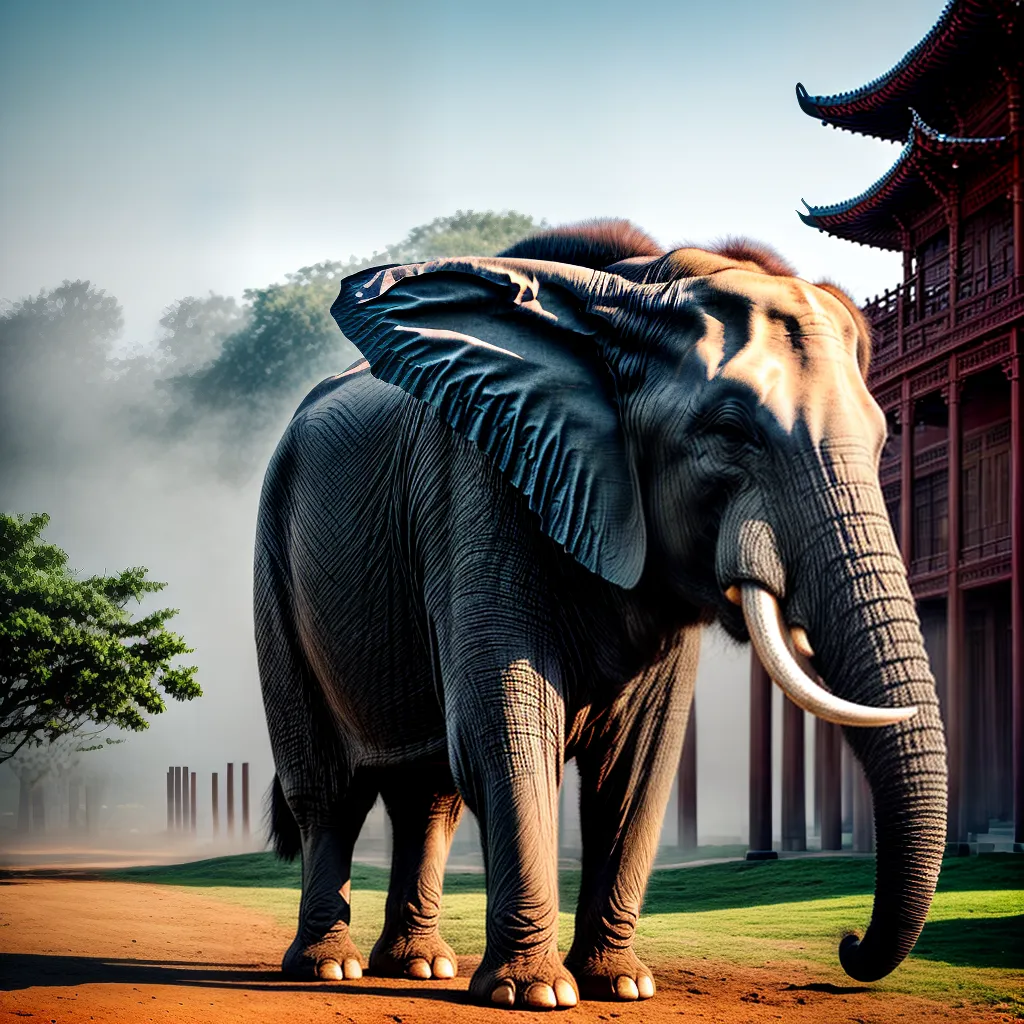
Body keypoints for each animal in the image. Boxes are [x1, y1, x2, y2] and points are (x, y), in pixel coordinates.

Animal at [254, 219, 947, 1010]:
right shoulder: (479, 491)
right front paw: (537, 996)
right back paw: (328, 968)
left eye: (884, 441)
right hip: (274, 565)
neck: (628, 296)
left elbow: (640, 759)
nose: (848, 945)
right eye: (730, 432)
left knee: (429, 799)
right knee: (327, 791)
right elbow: (504, 725)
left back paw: (420, 967)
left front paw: (622, 985)